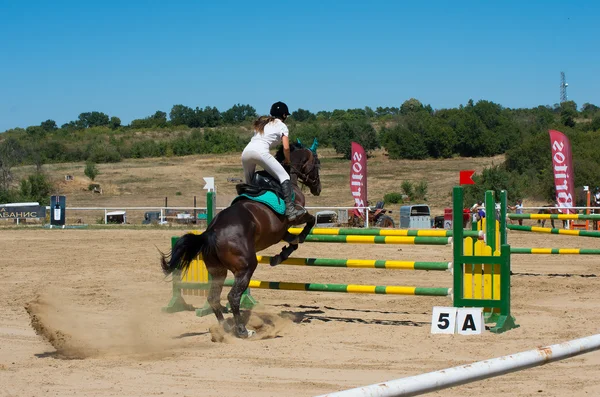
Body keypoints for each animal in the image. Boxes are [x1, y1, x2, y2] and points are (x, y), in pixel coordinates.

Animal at [158, 142, 318, 338]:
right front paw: (299, 239)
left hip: (218, 271)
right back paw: (242, 330)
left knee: (213, 298)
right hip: (245, 267)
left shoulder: (279, 232)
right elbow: (310, 221)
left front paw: (279, 256)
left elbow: (292, 243)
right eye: (317, 164)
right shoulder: (295, 217)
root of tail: (210, 232)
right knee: (233, 296)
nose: (317, 189)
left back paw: (225, 328)